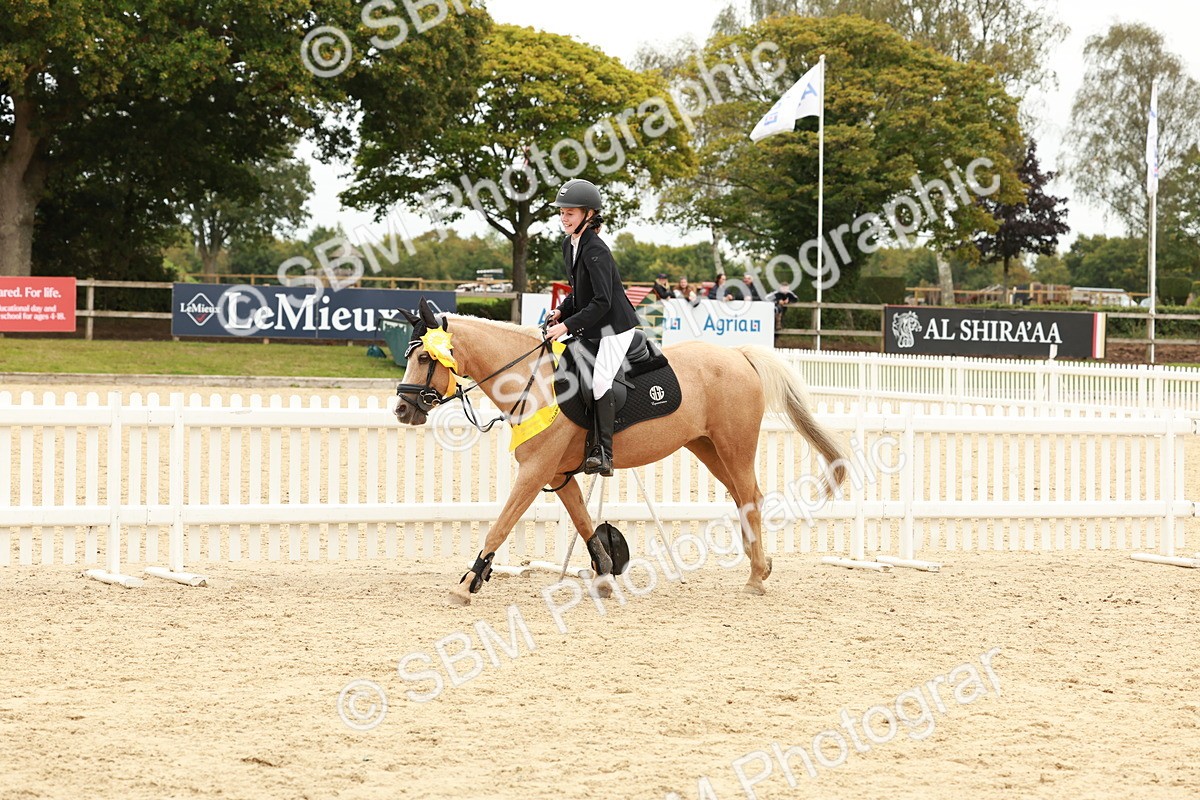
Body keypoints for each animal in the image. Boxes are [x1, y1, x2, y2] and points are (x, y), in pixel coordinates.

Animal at [394, 299, 846, 606]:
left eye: (424, 357)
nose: (402, 409)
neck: (532, 379)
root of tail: (738, 354)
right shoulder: (557, 475)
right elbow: (585, 525)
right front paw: (605, 577)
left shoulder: (535, 471)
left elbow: (500, 526)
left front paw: (466, 584)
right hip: (708, 448)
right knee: (744, 497)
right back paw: (760, 567)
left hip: (733, 445)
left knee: (750, 497)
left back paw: (755, 577)